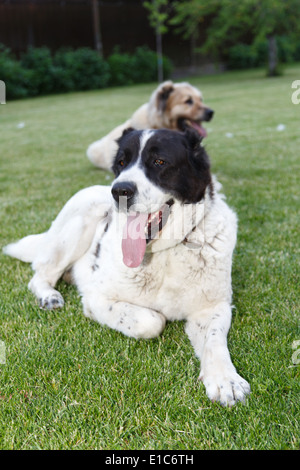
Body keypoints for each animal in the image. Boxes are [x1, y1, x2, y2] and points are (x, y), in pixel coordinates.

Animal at [4, 129, 251, 408]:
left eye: (160, 162)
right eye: (121, 163)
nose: (119, 190)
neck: (166, 252)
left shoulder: (214, 306)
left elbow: (215, 341)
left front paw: (226, 380)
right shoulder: (97, 298)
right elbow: (152, 320)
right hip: (76, 226)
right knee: (40, 274)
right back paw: (49, 295)